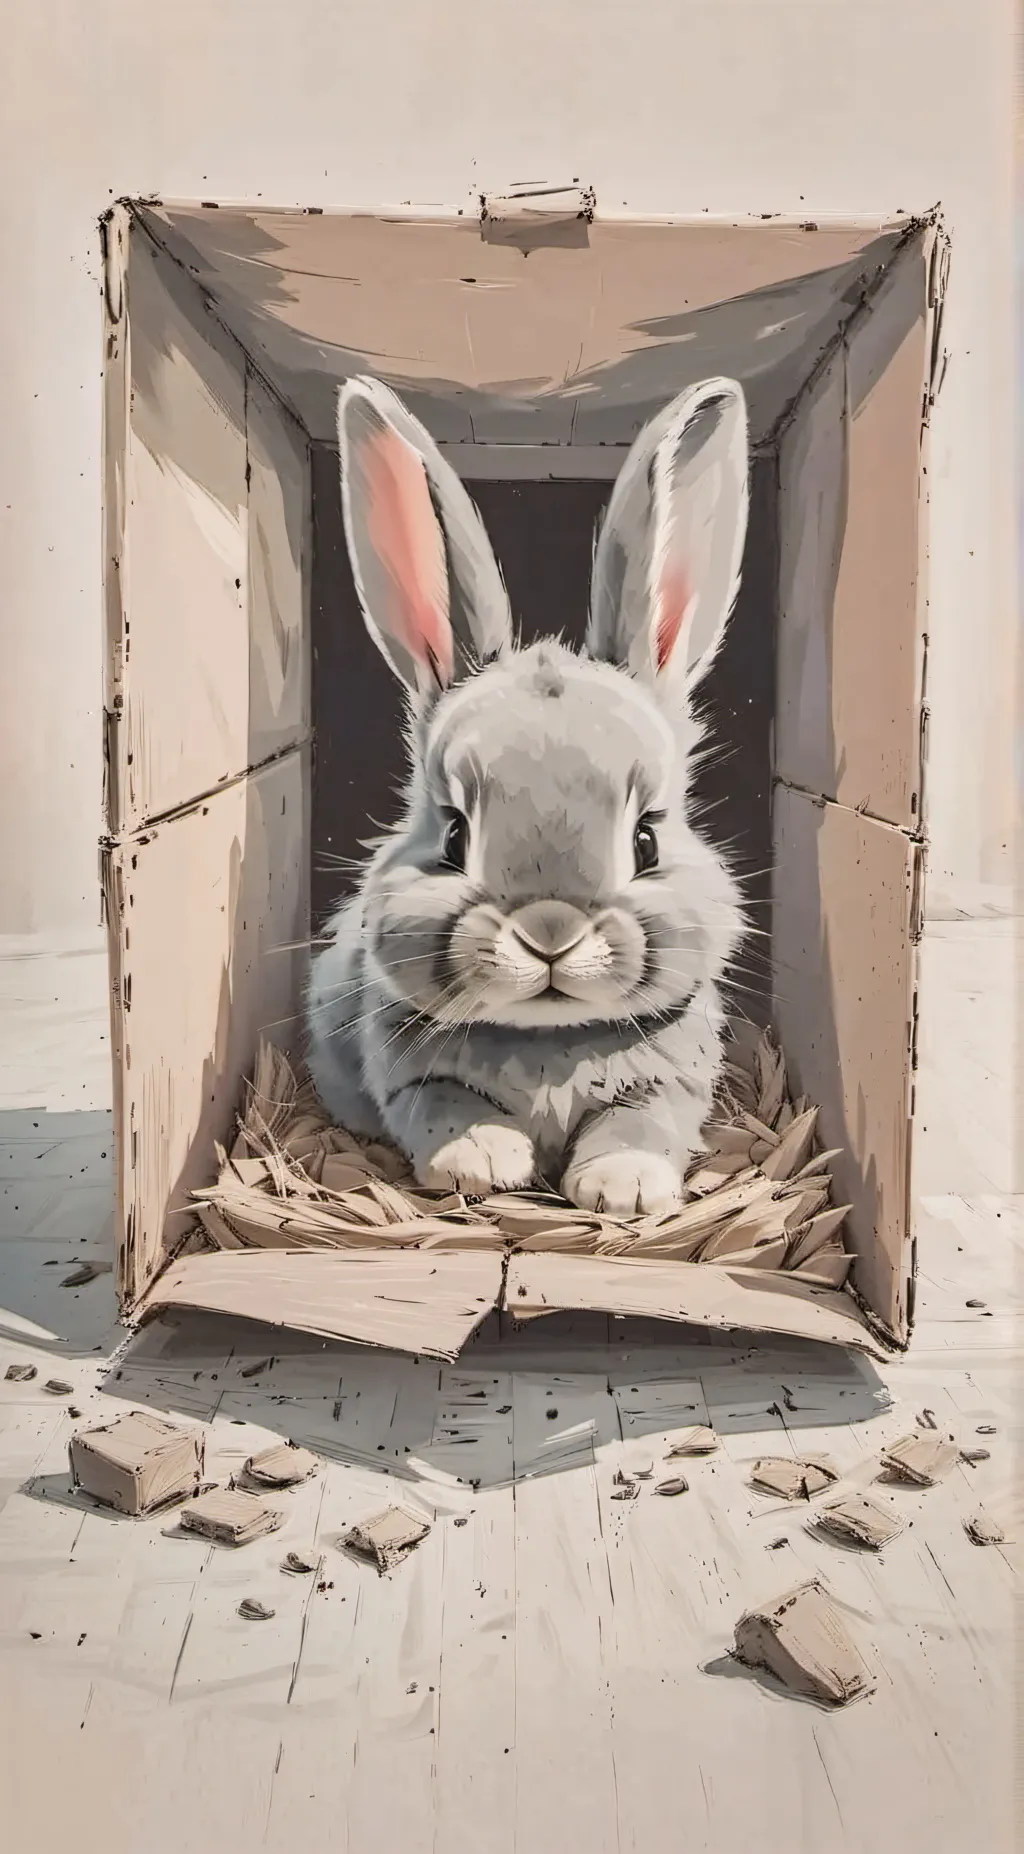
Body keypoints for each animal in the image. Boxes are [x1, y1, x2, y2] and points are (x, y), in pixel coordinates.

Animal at [305, 370, 749, 1217]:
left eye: (646, 838)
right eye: (453, 836)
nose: (550, 933)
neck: (548, 1041)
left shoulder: (672, 1081)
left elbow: (641, 1122)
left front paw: (620, 1187)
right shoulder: (405, 1074)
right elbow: (441, 1105)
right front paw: (484, 1159)